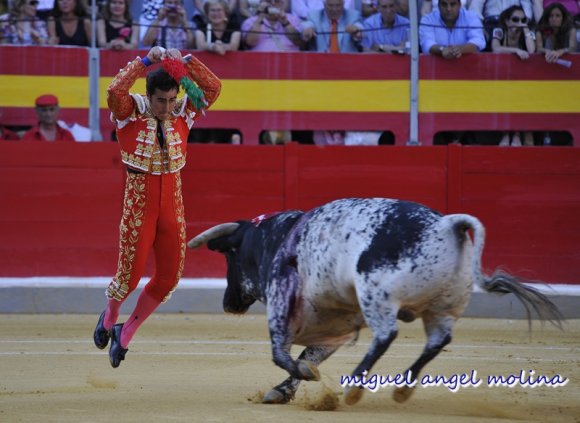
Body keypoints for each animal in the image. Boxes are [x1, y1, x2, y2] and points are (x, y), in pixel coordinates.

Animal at [187, 197, 560, 406]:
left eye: (230, 256)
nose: (228, 303)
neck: (277, 237)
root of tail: (445, 225)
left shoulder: (281, 305)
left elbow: (283, 354)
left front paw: (302, 377)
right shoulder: (333, 325)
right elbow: (310, 355)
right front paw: (282, 391)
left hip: (376, 295)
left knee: (386, 335)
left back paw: (355, 387)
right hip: (442, 307)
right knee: (438, 340)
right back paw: (402, 388)